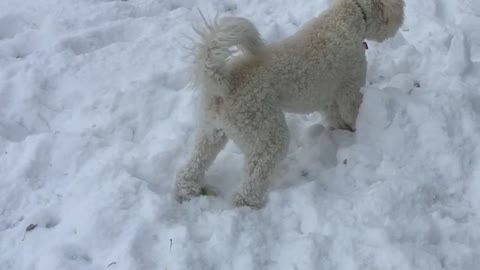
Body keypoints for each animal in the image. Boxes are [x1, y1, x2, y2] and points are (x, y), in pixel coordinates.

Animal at [174, 0, 404, 209]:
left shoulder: (328, 94)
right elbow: (352, 110)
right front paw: (355, 130)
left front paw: (340, 130)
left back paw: (187, 190)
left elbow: (333, 115)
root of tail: (223, 83)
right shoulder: (350, 84)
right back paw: (249, 204)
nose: (400, 22)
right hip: (267, 135)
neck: (347, 18)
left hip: (211, 131)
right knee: (252, 179)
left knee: (193, 164)